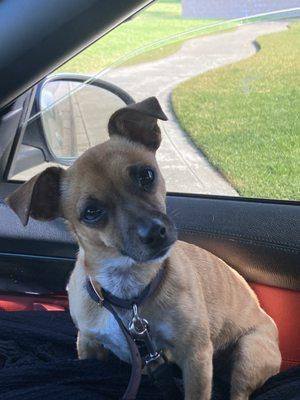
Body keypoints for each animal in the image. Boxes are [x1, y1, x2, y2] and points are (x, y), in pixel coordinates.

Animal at [6, 97, 282, 400]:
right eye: (91, 212)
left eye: (146, 175)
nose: (155, 232)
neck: (128, 292)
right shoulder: (88, 345)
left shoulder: (195, 358)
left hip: (249, 354)